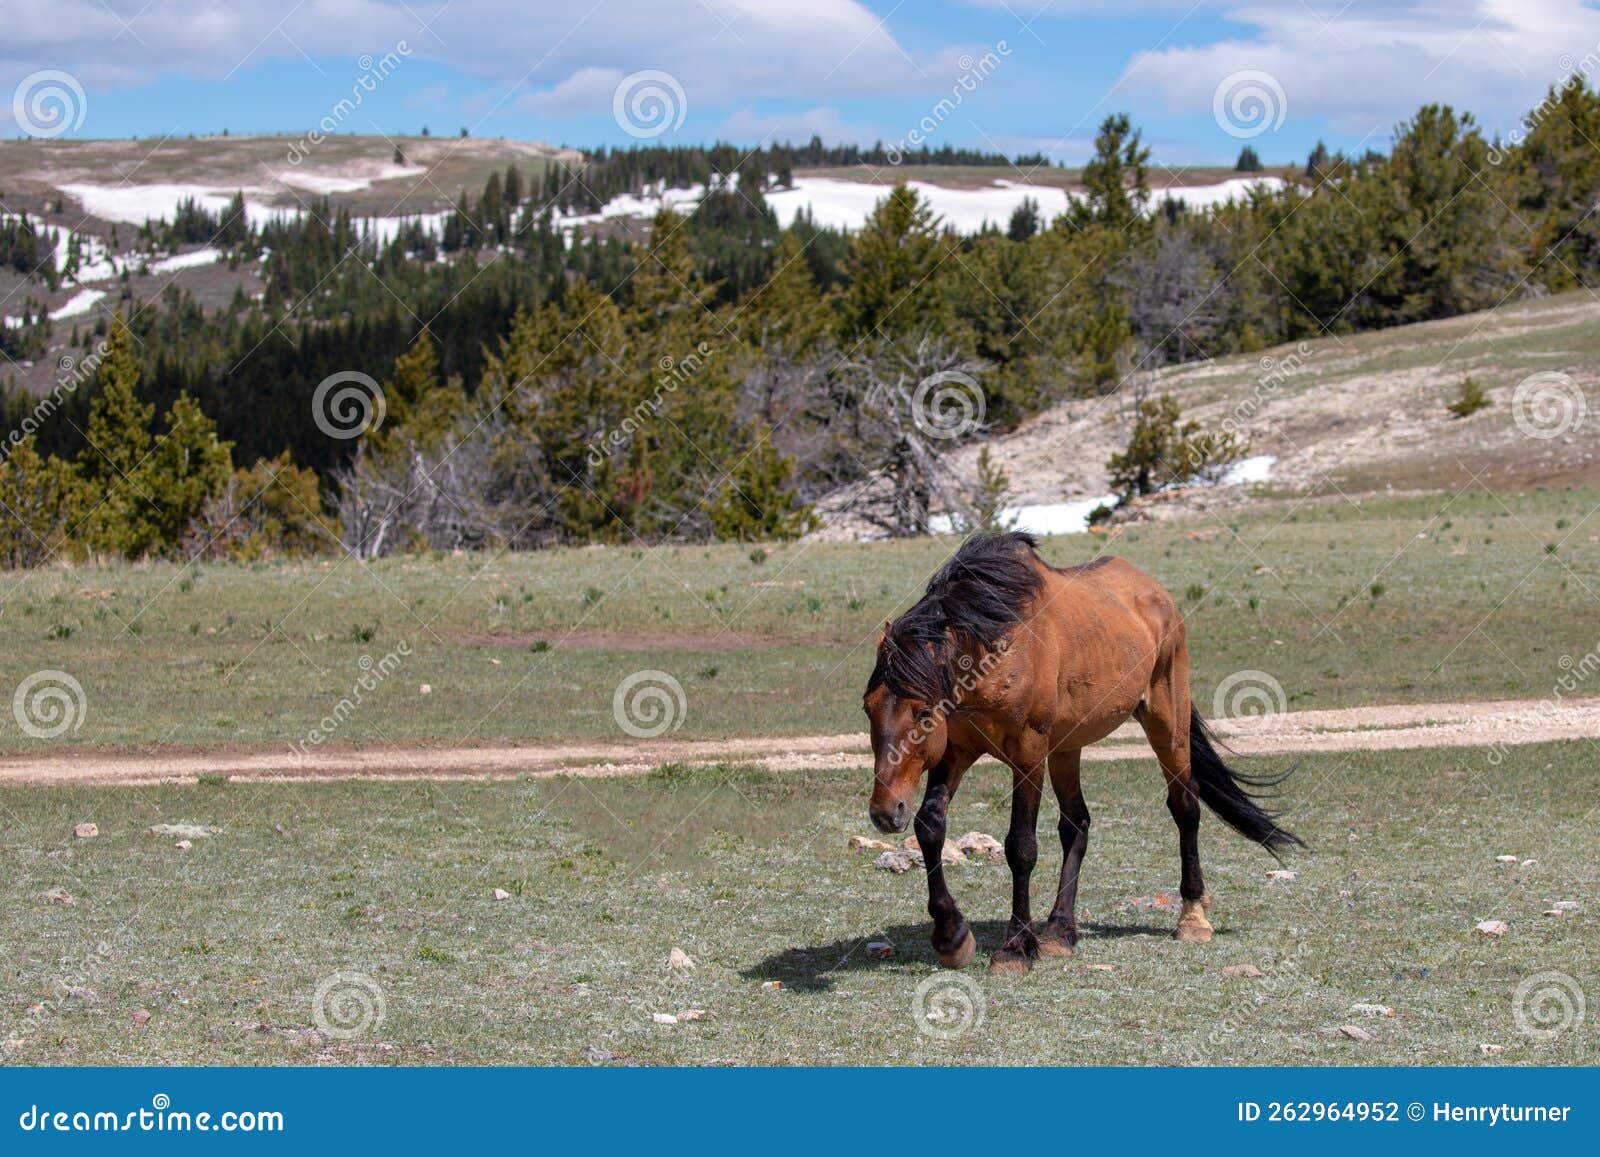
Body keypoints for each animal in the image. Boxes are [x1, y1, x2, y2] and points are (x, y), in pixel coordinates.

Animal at [864, 530, 1302, 974]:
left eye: (923, 713)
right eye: (867, 708)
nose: (885, 811)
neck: (991, 646)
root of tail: (1157, 593)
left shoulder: (1027, 754)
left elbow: (1021, 846)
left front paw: (1015, 948)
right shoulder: (955, 750)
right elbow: (930, 827)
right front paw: (952, 937)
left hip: (1167, 724)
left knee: (1185, 808)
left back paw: (1192, 918)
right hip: (1066, 747)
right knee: (1077, 824)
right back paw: (1060, 930)